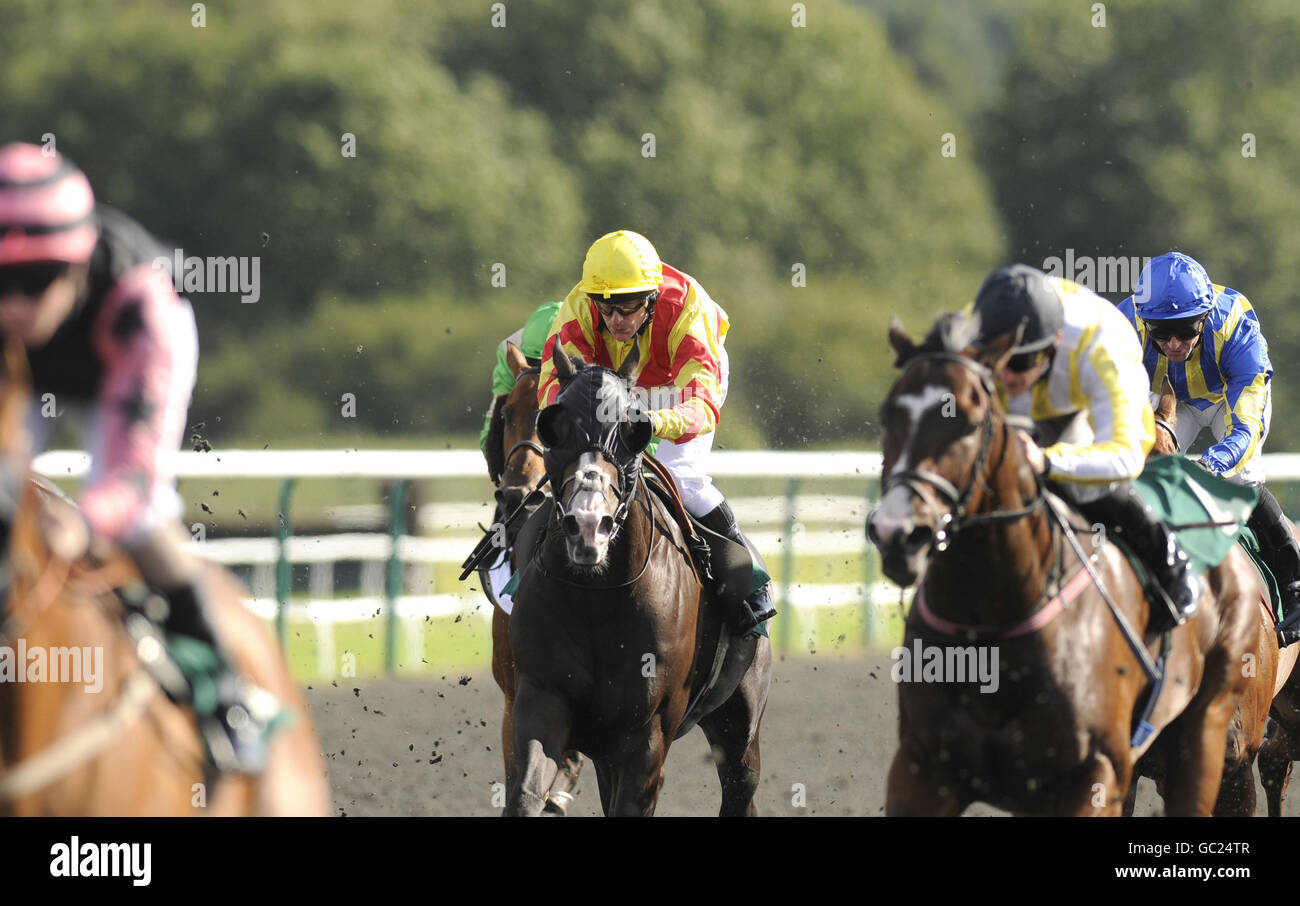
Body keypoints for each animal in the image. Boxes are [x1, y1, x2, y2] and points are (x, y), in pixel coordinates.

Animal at [504, 350, 769, 816]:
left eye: (633, 430)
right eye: (554, 425)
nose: (587, 525)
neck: (596, 596)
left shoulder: (648, 733)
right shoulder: (541, 699)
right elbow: (525, 794)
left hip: (740, 726)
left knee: (740, 790)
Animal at [873, 314, 1258, 816]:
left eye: (970, 422)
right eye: (887, 415)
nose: (898, 533)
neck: (991, 619)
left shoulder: (1096, 771)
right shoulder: (921, 767)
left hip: (1207, 729)